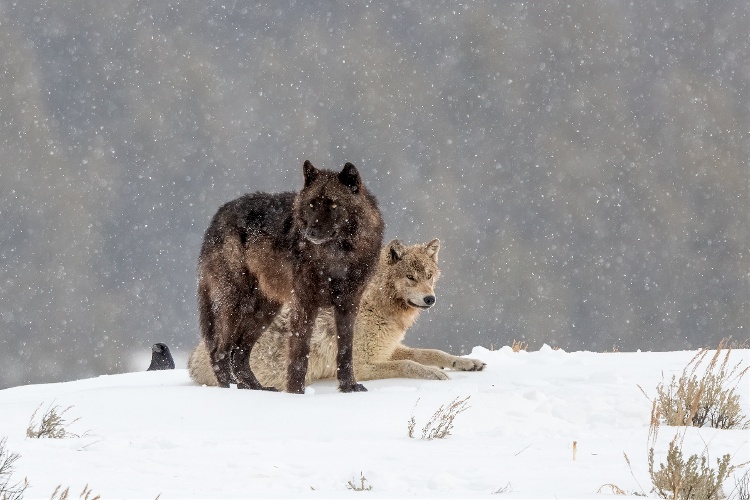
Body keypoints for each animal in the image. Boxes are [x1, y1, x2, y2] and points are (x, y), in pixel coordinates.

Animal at [188, 239, 488, 390]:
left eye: (428, 276)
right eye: (410, 277)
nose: (430, 299)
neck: (375, 304)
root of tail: (192, 356)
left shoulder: (388, 348)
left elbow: (431, 353)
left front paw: (466, 363)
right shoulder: (363, 364)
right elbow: (410, 364)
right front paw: (434, 374)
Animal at [197, 162, 384, 392]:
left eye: (333, 205)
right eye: (312, 204)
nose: (310, 232)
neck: (336, 258)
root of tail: (218, 214)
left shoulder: (348, 305)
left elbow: (345, 351)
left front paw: (349, 387)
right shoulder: (304, 303)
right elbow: (300, 352)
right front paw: (296, 392)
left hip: (265, 310)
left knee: (238, 353)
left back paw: (256, 389)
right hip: (235, 304)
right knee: (219, 351)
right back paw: (229, 389)